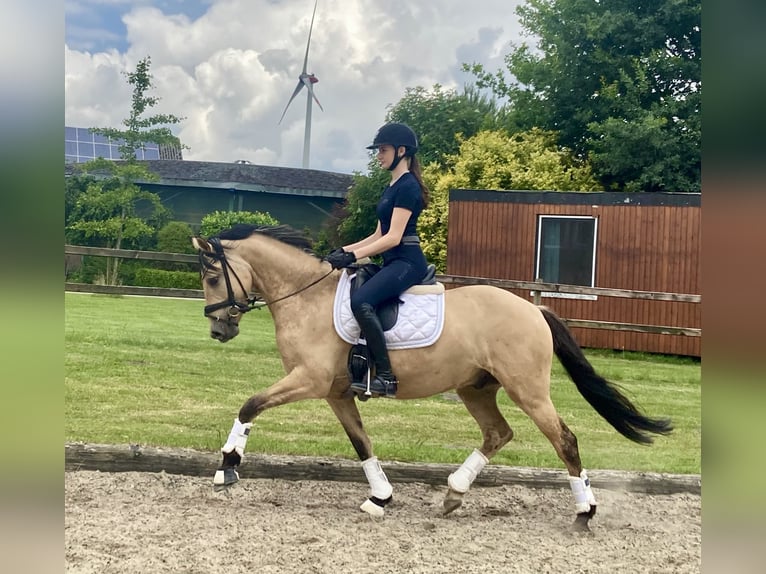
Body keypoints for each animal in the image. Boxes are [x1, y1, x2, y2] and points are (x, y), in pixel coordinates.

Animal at [192, 225, 672, 532]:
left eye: (213, 276)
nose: (217, 330)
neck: (307, 298)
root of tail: (535, 309)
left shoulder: (308, 379)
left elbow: (251, 404)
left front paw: (228, 466)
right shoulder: (335, 393)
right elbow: (361, 443)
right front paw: (380, 498)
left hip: (528, 389)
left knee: (564, 440)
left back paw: (584, 512)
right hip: (475, 387)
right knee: (498, 433)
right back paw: (454, 493)